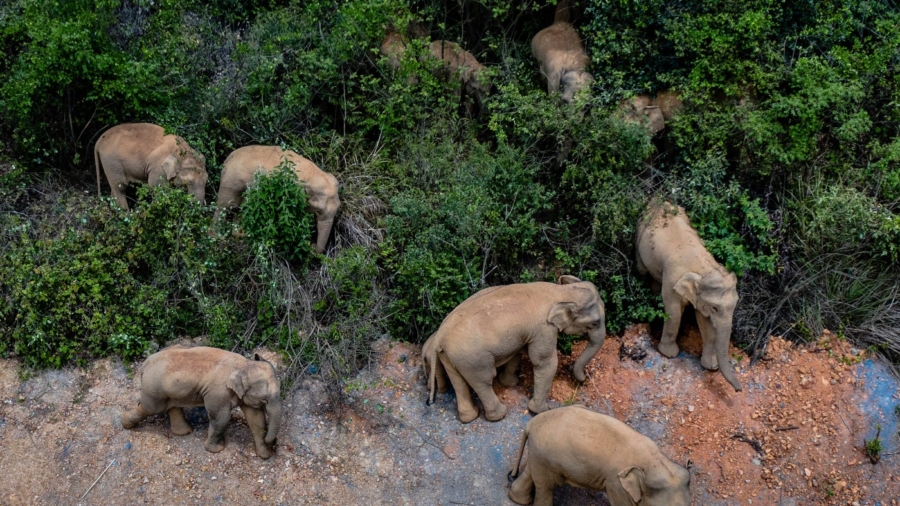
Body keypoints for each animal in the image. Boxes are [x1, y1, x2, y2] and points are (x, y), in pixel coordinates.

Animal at [121, 346, 282, 459]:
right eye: (265, 399)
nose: (274, 443)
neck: (244, 364)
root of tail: (145, 364)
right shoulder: (217, 392)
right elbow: (222, 418)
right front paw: (216, 449)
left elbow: (256, 419)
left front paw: (264, 455)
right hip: (154, 388)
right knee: (149, 408)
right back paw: (125, 423)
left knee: (171, 406)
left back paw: (184, 432)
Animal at [422, 276, 606, 423]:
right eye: (595, 323)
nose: (584, 380)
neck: (561, 291)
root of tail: (439, 337)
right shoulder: (544, 328)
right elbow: (544, 362)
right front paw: (541, 410)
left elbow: (517, 353)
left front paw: (511, 383)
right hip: (472, 359)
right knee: (484, 381)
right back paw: (499, 415)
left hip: (450, 356)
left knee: (458, 381)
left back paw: (469, 417)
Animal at [508, 405, 691, 506]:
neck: (656, 461)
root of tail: (532, 423)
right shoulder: (616, 485)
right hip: (548, 459)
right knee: (546, 486)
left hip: (538, 454)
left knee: (531, 473)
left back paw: (517, 499)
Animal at [635, 202, 742, 391]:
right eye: (715, 308)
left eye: (735, 305)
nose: (738, 389)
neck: (703, 268)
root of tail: (658, 200)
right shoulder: (672, 279)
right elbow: (674, 312)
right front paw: (669, 354)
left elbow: (705, 322)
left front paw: (710, 366)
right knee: (642, 270)